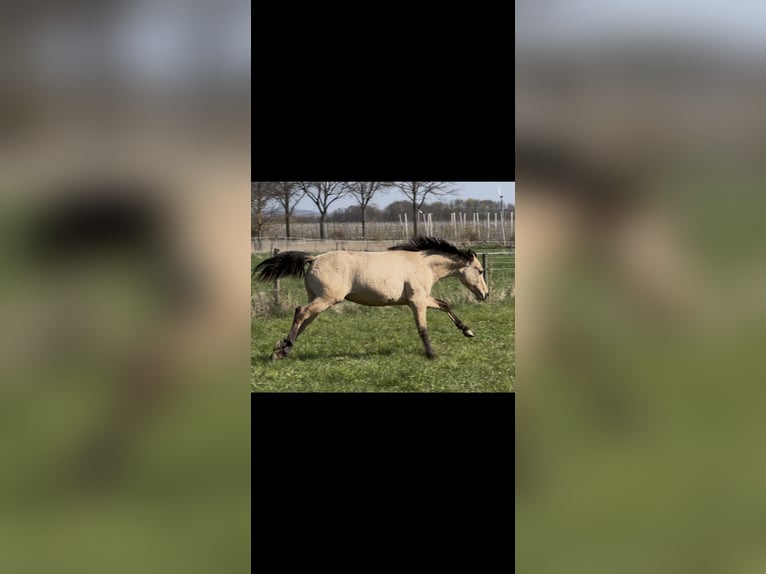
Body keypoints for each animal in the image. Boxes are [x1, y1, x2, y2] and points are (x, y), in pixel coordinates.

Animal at [253, 237, 489, 360]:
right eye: (479, 270)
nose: (485, 294)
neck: (423, 264)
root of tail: (314, 259)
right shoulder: (417, 301)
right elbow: (422, 328)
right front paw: (431, 354)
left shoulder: (423, 298)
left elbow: (444, 304)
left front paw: (468, 331)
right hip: (327, 299)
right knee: (300, 312)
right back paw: (283, 348)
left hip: (319, 299)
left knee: (305, 319)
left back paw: (283, 349)